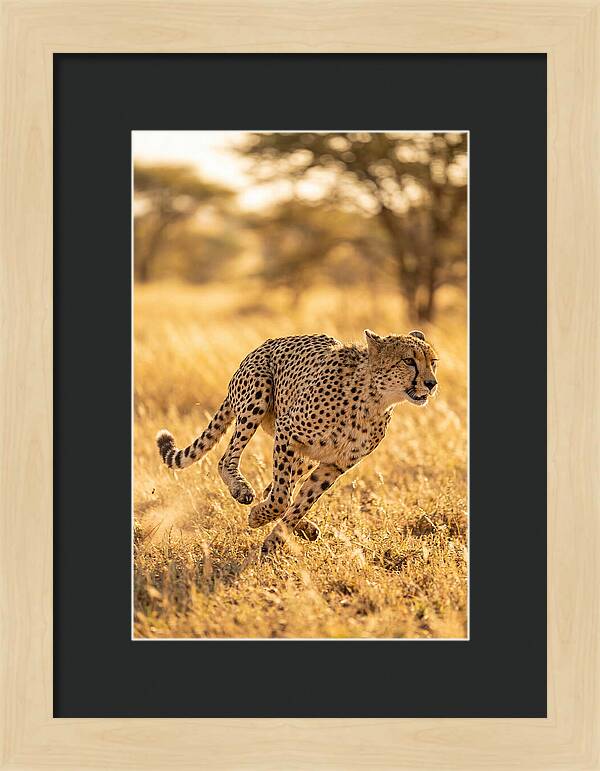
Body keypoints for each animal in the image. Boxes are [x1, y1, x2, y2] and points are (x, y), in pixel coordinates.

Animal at [156, 329, 438, 554]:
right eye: (409, 361)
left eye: (433, 362)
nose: (431, 383)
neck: (374, 399)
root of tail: (261, 346)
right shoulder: (288, 432)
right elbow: (282, 498)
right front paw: (258, 517)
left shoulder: (334, 465)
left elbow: (301, 501)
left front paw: (275, 539)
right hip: (258, 396)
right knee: (228, 460)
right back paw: (242, 490)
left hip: (306, 455)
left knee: (275, 488)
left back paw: (304, 528)